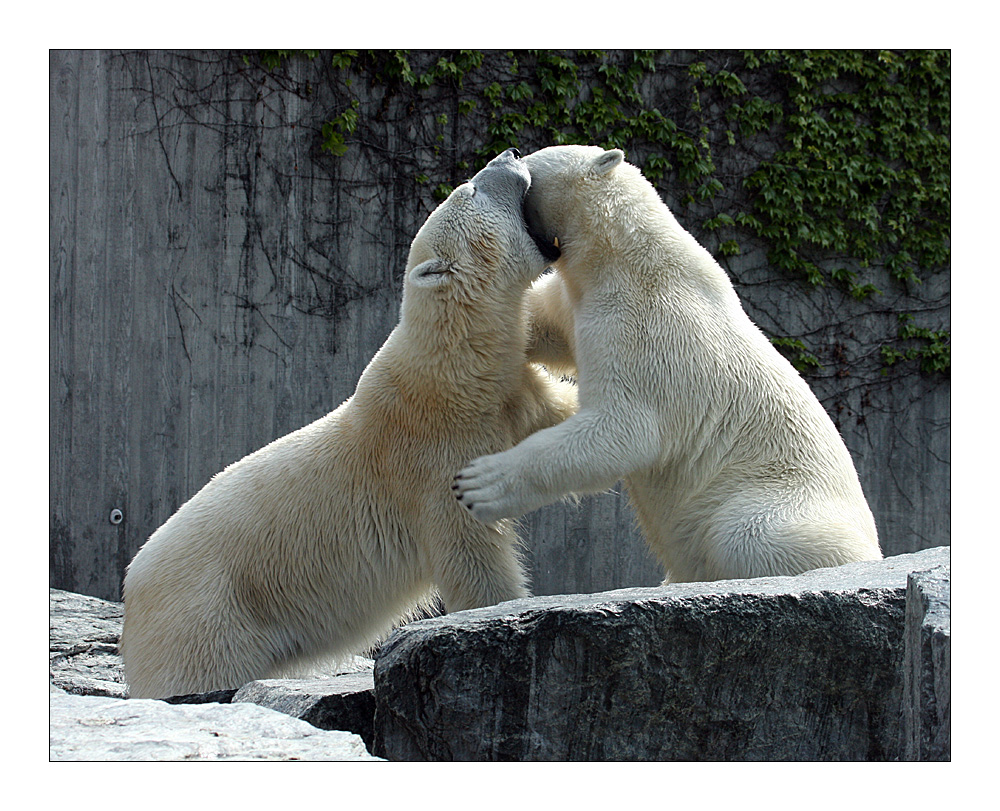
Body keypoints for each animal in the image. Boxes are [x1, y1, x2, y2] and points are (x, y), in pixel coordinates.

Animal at [120, 147, 576, 696]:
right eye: (470, 187)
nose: (508, 152)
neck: (450, 369)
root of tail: (130, 599)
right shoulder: (430, 454)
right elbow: (472, 559)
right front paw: (502, 615)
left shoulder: (506, 393)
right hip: (205, 618)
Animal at [456, 143, 884, 580]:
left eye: (534, 157)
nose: (510, 151)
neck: (625, 257)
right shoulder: (576, 300)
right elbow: (541, 325)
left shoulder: (647, 330)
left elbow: (624, 428)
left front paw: (479, 483)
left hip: (777, 496)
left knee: (745, 533)